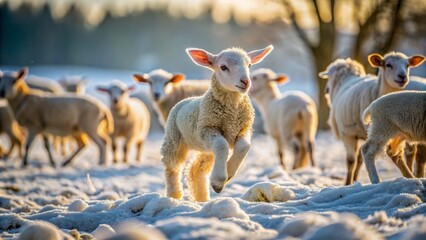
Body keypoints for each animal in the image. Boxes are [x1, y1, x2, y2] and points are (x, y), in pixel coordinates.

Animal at [160, 44, 272, 201]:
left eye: (249, 65)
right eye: (223, 67)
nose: (246, 82)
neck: (232, 113)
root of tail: (186, 100)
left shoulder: (244, 129)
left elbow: (244, 146)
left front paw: (227, 175)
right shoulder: (207, 128)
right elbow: (222, 145)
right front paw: (219, 181)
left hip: (206, 149)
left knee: (196, 169)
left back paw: (202, 198)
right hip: (173, 139)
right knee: (172, 169)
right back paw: (174, 196)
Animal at [318, 51, 424, 185]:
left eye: (408, 65)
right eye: (388, 65)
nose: (402, 77)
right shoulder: (349, 134)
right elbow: (351, 161)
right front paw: (348, 183)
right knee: (354, 159)